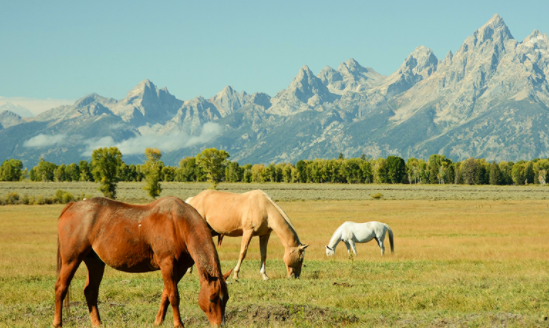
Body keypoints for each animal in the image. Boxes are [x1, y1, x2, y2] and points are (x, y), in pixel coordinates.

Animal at [53, 197, 229, 328]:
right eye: (212, 299)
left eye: (226, 298)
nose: (220, 325)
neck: (179, 223)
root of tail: (72, 205)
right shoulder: (167, 264)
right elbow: (173, 296)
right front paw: (178, 324)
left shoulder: (179, 268)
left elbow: (165, 294)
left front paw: (158, 321)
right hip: (71, 260)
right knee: (61, 288)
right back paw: (57, 323)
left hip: (95, 263)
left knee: (90, 291)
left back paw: (97, 323)